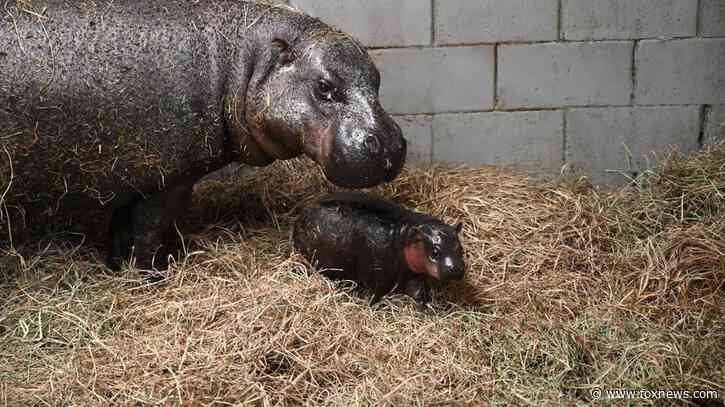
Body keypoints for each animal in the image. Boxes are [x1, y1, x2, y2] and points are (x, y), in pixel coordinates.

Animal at [0, 1, 406, 272]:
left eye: (377, 79)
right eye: (324, 87)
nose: (389, 143)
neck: (242, 63)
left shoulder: (130, 177)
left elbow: (121, 230)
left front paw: (117, 267)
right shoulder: (166, 180)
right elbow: (147, 232)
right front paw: (151, 275)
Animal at [293, 192, 465, 310]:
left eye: (460, 248)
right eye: (435, 252)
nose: (456, 268)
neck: (406, 235)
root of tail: (301, 214)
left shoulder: (411, 273)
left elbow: (417, 291)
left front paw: (428, 306)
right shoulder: (381, 275)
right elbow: (376, 294)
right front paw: (370, 306)